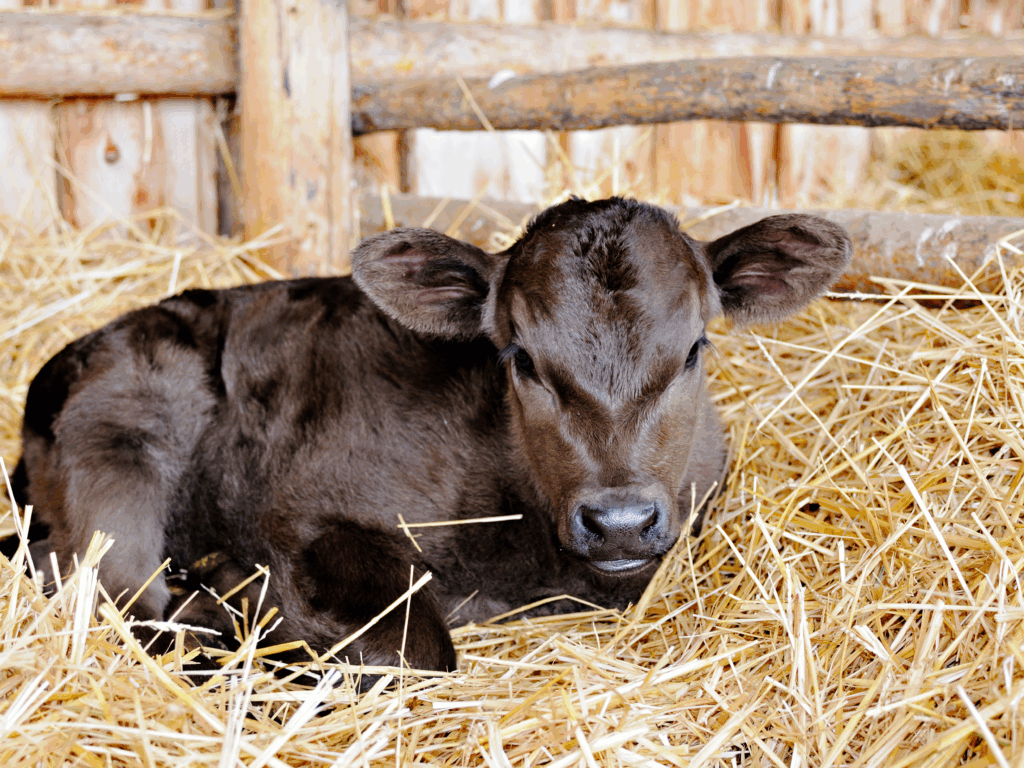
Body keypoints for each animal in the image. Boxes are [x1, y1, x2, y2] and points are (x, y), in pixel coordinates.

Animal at [8, 197, 851, 680]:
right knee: (122, 603)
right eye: (522, 359)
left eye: (694, 349)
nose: (618, 520)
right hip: (122, 460)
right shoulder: (307, 515)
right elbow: (422, 653)